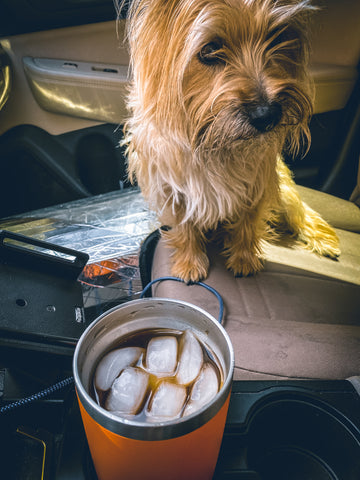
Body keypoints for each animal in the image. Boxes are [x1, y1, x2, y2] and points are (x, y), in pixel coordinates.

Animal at [121, 0, 340, 284]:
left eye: (278, 38)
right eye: (210, 49)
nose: (267, 114)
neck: (219, 145)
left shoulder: (257, 184)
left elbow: (247, 222)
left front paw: (243, 259)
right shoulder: (173, 190)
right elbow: (184, 225)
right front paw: (190, 263)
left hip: (283, 189)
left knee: (300, 212)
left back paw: (323, 240)